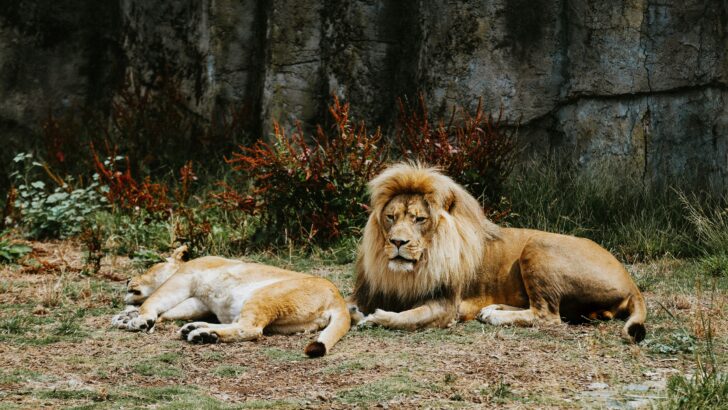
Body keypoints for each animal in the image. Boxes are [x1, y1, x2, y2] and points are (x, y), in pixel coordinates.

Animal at [111, 246, 350, 357]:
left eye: (149, 267)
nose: (127, 280)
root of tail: (339, 300)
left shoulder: (182, 279)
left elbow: (153, 301)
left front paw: (140, 320)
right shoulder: (198, 301)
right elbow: (166, 312)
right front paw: (125, 316)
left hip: (264, 295)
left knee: (250, 329)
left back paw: (201, 335)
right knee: (239, 325)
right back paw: (198, 330)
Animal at [349, 163, 647, 343]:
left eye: (419, 219)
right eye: (391, 217)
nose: (397, 241)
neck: (410, 271)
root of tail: (631, 283)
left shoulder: (447, 305)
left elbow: (408, 317)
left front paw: (375, 318)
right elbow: (350, 306)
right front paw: (356, 313)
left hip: (537, 246)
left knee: (548, 315)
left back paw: (495, 315)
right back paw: (492, 308)